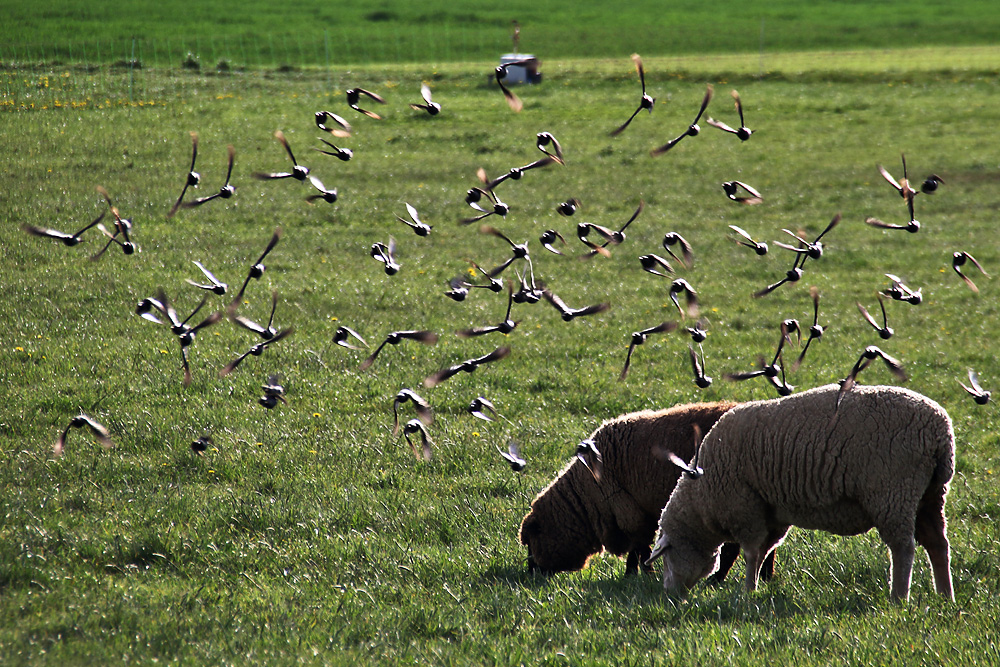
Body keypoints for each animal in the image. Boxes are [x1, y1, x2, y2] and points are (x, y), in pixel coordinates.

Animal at [520, 402, 776, 580]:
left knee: (739, 547)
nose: (531, 574)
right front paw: (636, 574)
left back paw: (720, 580)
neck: (587, 496)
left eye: (531, 541)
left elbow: (640, 547)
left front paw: (638, 574)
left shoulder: (629, 512)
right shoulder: (641, 512)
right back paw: (765, 577)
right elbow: (641, 547)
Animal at [644, 380, 956, 604]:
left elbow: (751, 552)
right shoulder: (772, 513)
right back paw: (945, 596)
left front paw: (746, 591)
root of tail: (940, 432)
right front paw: (755, 588)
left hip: (893, 491)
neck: (701, 501)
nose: (671, 596)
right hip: (930, 494)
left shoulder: (745, 508)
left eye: (666, 557)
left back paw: (898, 598)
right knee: (938, 544)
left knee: (903, 548)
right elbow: (764, 551)